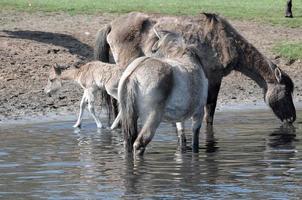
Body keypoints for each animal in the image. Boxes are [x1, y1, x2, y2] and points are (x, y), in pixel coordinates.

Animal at [95, 11, 296, 126]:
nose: (292, 118)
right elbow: (210, 108)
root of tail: (111, 24)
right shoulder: (215, 77)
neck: (226, 41)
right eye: (287, 92)